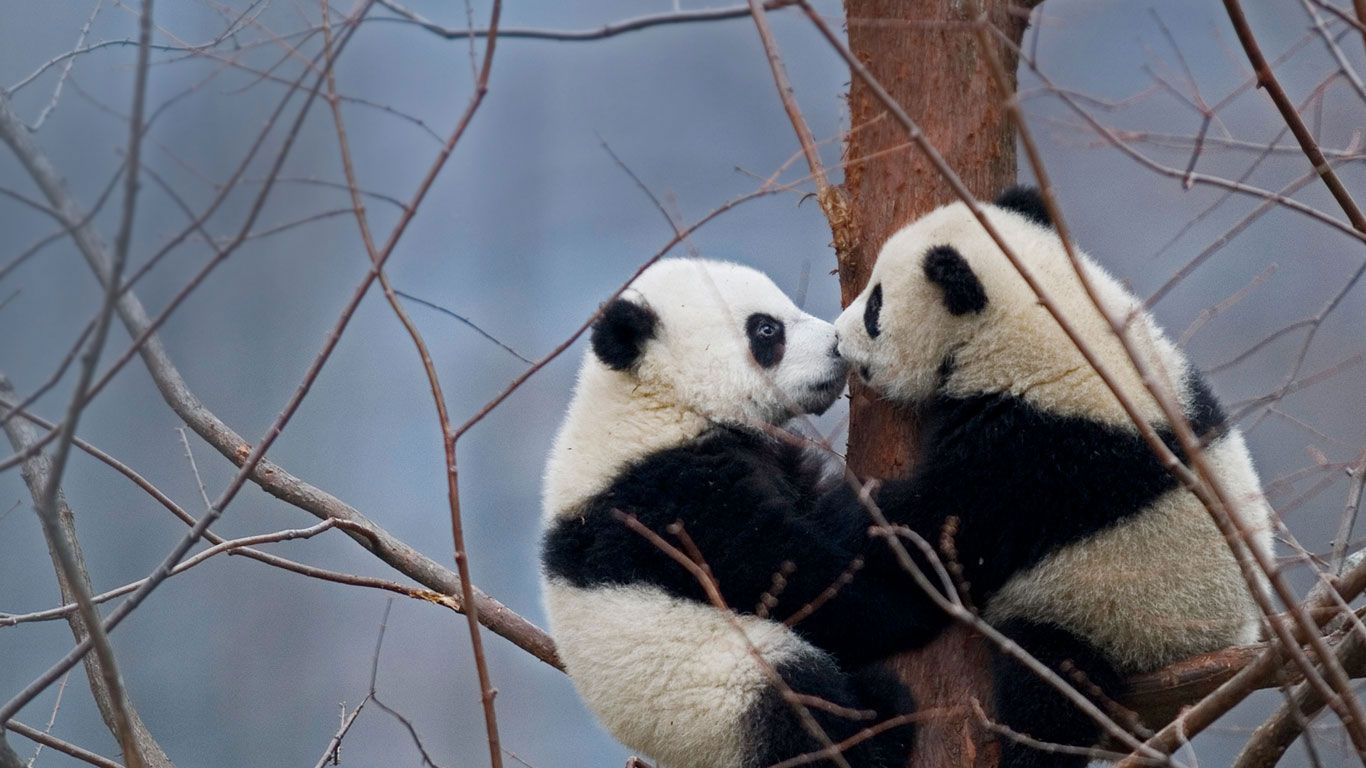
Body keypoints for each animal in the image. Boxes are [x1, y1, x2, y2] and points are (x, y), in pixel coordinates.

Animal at [540, 258, 926, 768]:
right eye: (766, 329)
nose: (837, 346)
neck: (658, 402)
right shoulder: (668, 499)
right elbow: (784, 572)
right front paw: (911, 599)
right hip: (719, 694)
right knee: (799, 705)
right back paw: (881, 722)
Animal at [832, 186, 1276, 768]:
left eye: (876, 306)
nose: (835, 338)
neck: (1038, 321)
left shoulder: (1041, 450)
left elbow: (939, 526)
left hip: (1111, 619)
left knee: (1049, 689)